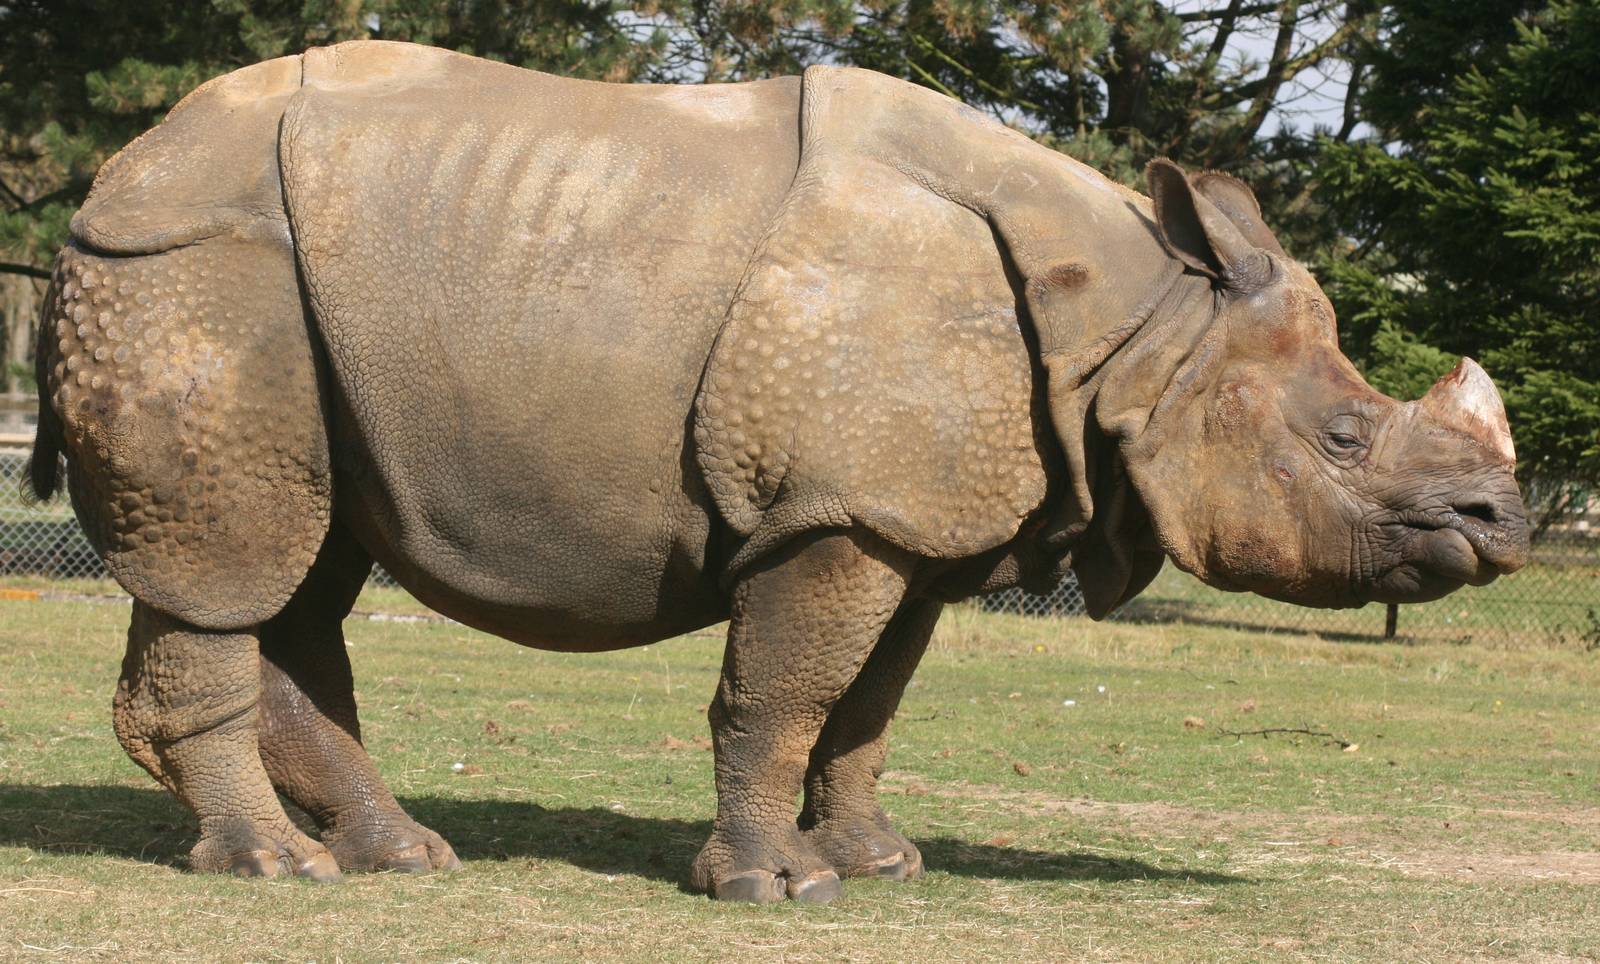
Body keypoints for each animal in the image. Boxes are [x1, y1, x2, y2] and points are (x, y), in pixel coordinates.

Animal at [28, 41, 1529, 903]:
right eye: (1343, 442)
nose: (1504, 521)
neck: (1143, 329)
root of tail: (117, 169)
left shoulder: (910, 517)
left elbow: (867, 705)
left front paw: (875, 864)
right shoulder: (838, 511)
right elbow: (784, 693)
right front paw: (769, 889)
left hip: (306, 295)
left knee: (305, 564)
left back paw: (397, 860)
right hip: (194, 266)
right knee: (230, 561)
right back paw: (275, 873)